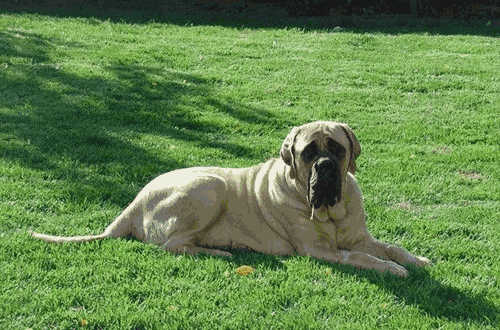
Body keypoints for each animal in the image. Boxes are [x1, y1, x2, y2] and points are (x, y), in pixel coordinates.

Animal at [31, 121, 430, 276]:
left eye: (337, 148)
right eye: (308, 152)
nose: (327, 167)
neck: (332, 209)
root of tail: (132, 205)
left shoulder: (360, 236)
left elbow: (390, 246)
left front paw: (417, 259)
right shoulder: (319, 251)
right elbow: (360, 257)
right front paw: (392, 269)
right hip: (209, 187)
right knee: (172, 246)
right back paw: (220, 253)